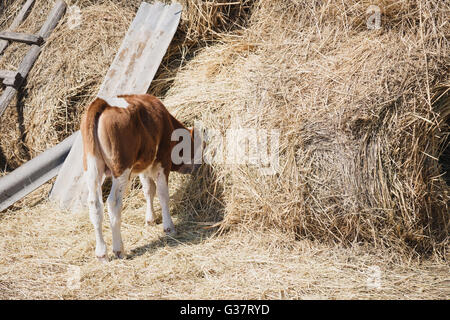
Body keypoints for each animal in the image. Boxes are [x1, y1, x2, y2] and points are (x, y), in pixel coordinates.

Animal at [80, 94, 199, 262]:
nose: (197, 167)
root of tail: (102, 103)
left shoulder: (143, 165)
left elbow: (149, 190)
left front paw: (150, 219)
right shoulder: (163, 160)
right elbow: (162, 194)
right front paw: (168, 227)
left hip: (91, 168)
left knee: (95, 204)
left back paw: (101, 253)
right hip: (121, 168)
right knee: (113, 202)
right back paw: (118, 249)